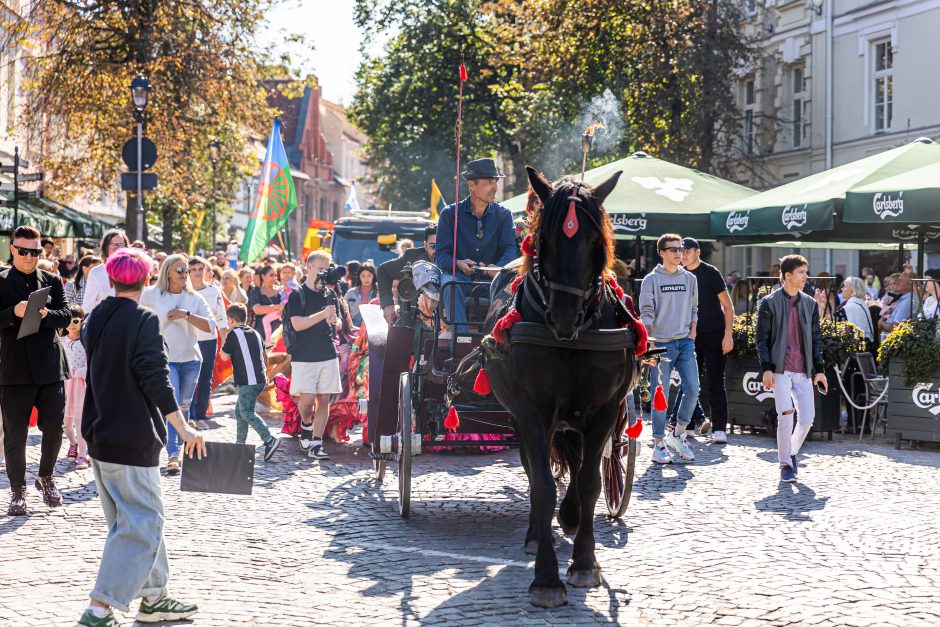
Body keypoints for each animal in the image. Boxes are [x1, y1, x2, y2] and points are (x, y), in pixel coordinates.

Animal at [482, 167, 644, 608]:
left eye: (594, 241)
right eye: (546, 240)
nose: (564, 317)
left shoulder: (605, 410)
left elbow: (589, 482)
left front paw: (584, 562)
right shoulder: (532, 412)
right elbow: (541, 486)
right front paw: (546, 578)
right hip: (522, 420)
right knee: (535, 471)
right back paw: (537, 535)